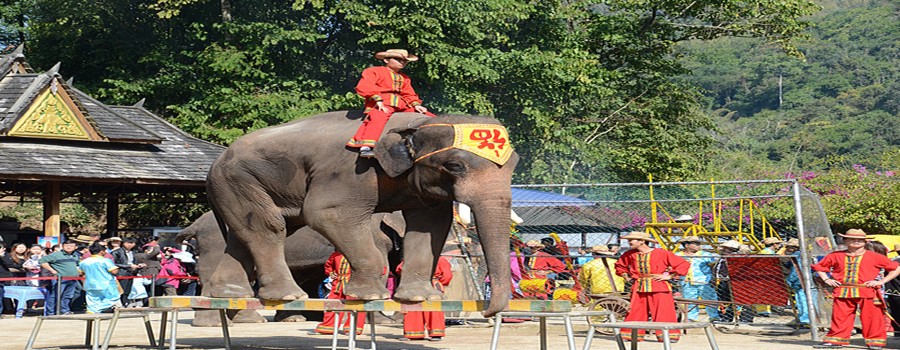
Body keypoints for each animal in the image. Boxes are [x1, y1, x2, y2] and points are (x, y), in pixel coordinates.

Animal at [178, 211, 402, 328]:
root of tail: (196, 224)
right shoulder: (373, 232)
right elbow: (384, 267)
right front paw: (385, 321)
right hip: (215, 244)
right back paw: (215, 324)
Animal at [207, 110, 516, 316]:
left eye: (516, 163)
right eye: (455, 166)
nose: (486, 311)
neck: (415, 124)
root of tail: (216, 162)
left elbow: (430, 225)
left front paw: (419, 298)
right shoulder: (352, 171)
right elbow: (326, 213)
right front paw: (369, 295)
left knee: (246, 233)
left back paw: (229, 293)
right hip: (236, 178)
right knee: (268, 228)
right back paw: (287, 294)